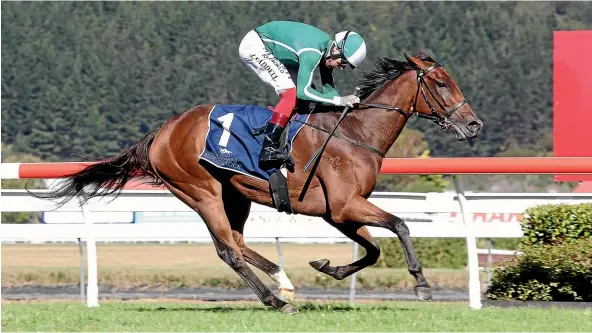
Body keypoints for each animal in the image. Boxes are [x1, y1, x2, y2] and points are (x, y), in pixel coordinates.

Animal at [35, 52, 480, 314]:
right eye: (441, 83)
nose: (473, 123)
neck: (356, 132)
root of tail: (162, 132)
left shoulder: (337, 212)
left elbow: (371, 250)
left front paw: (328, 267)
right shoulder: (344, 205)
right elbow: (400, 225)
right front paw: (422, 285)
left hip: (236, 195)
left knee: (238, 242)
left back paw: (283, 282)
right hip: (201, 192)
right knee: (227, 250)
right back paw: (273, 299)